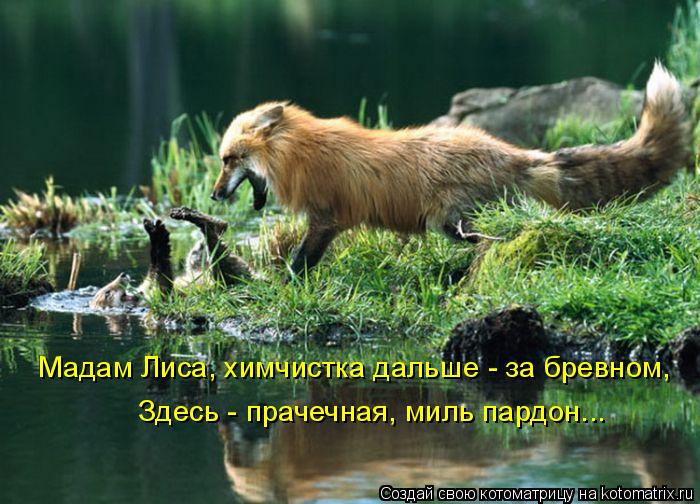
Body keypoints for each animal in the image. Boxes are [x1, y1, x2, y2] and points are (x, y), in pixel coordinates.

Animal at [212, 62, 689, 275]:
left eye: (229, 159)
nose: (214, 195)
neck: (299, 152)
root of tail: (510, 152)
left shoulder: (326, 218)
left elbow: (299, 261)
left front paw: (285, 284)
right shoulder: (328, 220)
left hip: (452, 222)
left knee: (495, 238)